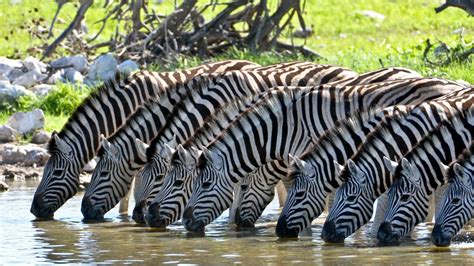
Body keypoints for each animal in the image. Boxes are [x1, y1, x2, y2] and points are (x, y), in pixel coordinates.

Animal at [181, 78, 466, 232]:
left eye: (205, 184)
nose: (186, 222)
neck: (279, 129)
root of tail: (452, 84)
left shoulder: (308, 158)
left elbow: (306, 196)